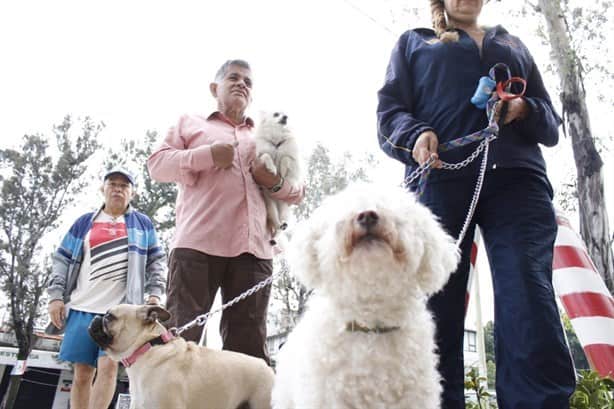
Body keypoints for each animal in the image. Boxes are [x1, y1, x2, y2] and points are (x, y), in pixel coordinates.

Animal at [254, 110, 302, 241]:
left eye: (287, 115)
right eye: (276, 114)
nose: (285, 117)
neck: (276, 140)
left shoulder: (292, 159)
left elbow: (285, 159)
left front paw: (283, 171)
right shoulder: (261, 155)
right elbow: (266, 156)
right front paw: (272, 168)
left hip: (284, 207)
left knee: (283, 221)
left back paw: (283, 226)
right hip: (270, 206)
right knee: (276, 221)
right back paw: (278, 227)